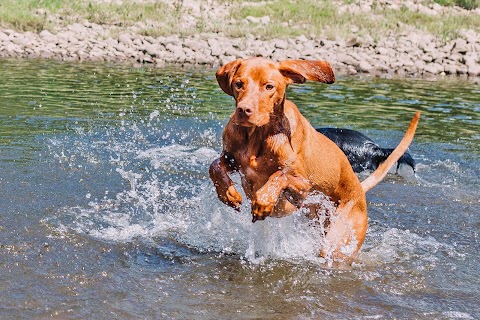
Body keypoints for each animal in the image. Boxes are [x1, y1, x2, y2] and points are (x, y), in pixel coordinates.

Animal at [210, 57, 420, 262]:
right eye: (239, 84)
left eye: (269, 86)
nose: (244, 110)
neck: (256, 136)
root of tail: (360, 190)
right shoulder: (231, 160)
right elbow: (214, 166)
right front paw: (228, 194)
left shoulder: (302, 187)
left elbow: (279, 176)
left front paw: (264, 200)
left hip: (339, 237)